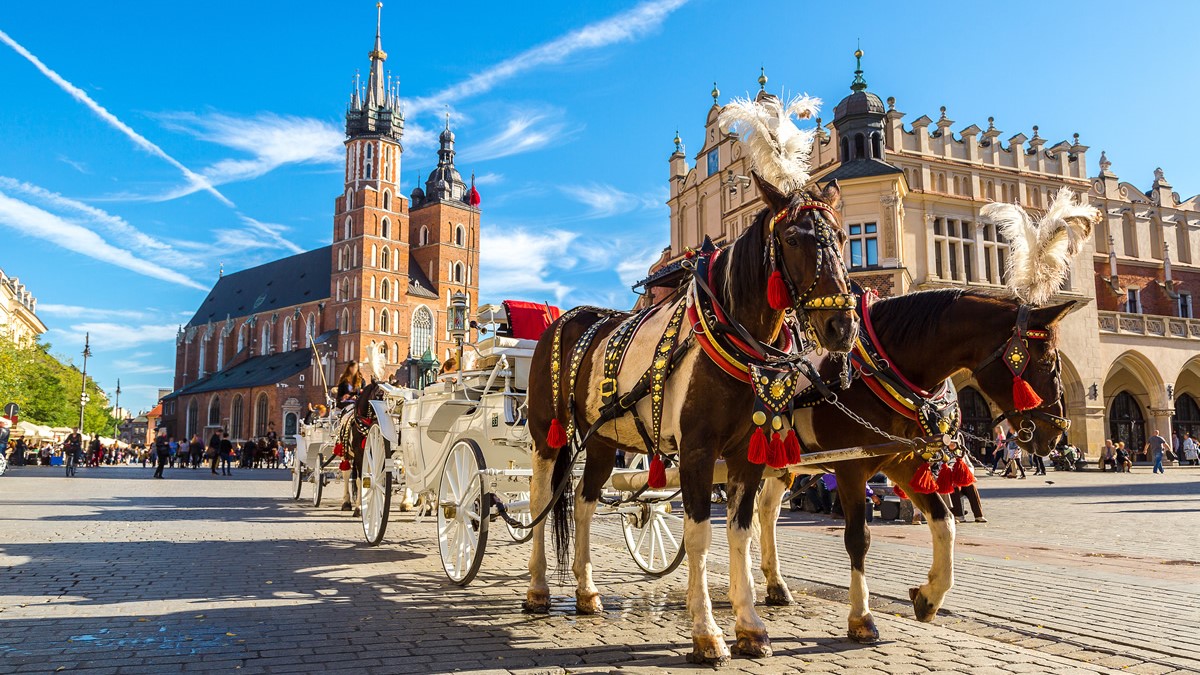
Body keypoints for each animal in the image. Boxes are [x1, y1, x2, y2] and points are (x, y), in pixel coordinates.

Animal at [530, 172, 859, 662]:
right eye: (792, 238)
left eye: (842, 237)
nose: (842, 326)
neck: (729, 337)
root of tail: (564, 318)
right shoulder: (698, 452)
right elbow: (699, 535)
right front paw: (707, 633)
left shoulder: (747, 454)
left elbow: (740, 532)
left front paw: (750, 626)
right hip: (545, 435)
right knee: (539, 500)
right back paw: (536, 589)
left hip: (603, 441)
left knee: (585, 503)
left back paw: (587, 592)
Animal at [758, 288, 1070, 638]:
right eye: (1047, 363)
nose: (1057, 433)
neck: (878, 371)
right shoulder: (850, 467)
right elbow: (858, 539)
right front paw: (861, 616)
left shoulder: (901, 460)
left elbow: (945, 521)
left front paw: (929, 596)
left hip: (780, 464)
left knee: (766, 511)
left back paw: (776, 585)